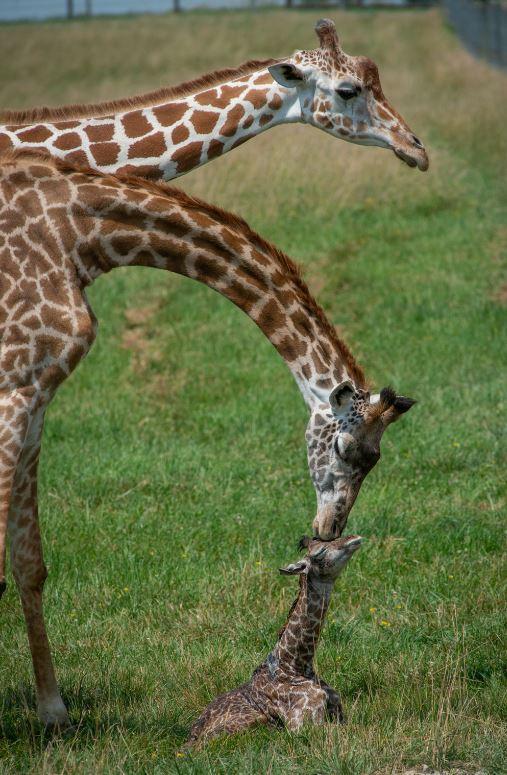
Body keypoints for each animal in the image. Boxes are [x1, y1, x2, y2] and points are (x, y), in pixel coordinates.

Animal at [189, 532, 364, 744]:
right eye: (320, 552)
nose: (354, 538)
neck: (297, 665)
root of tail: (189, 738)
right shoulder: (299, 726)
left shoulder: (339, 714)